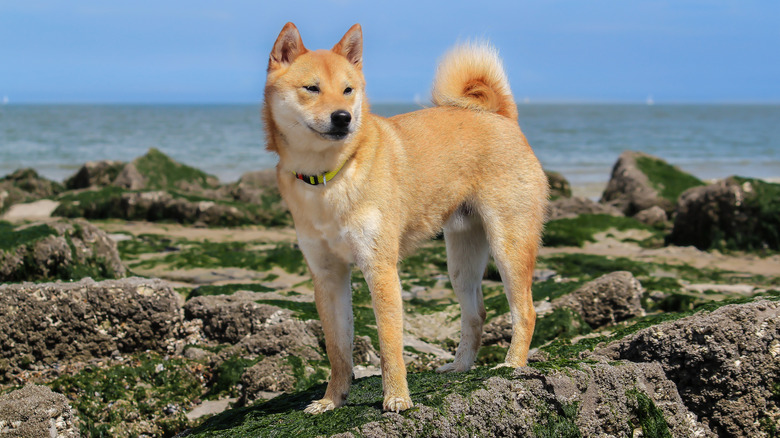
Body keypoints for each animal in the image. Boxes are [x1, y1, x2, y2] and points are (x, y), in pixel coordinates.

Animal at [262, 22, 548, 414]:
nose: (343, 117)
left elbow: (389, 344)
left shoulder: (380, 268)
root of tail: (502, 117)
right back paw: (459, 367)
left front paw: (396, 397)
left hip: (509, 245)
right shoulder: (328, 275)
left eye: (348, 90)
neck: (329, 177)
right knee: (476, 315)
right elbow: (338, 350)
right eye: (312, 88)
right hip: (461, 262)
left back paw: (512, 365)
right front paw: (332, 400)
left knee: (526, 311)